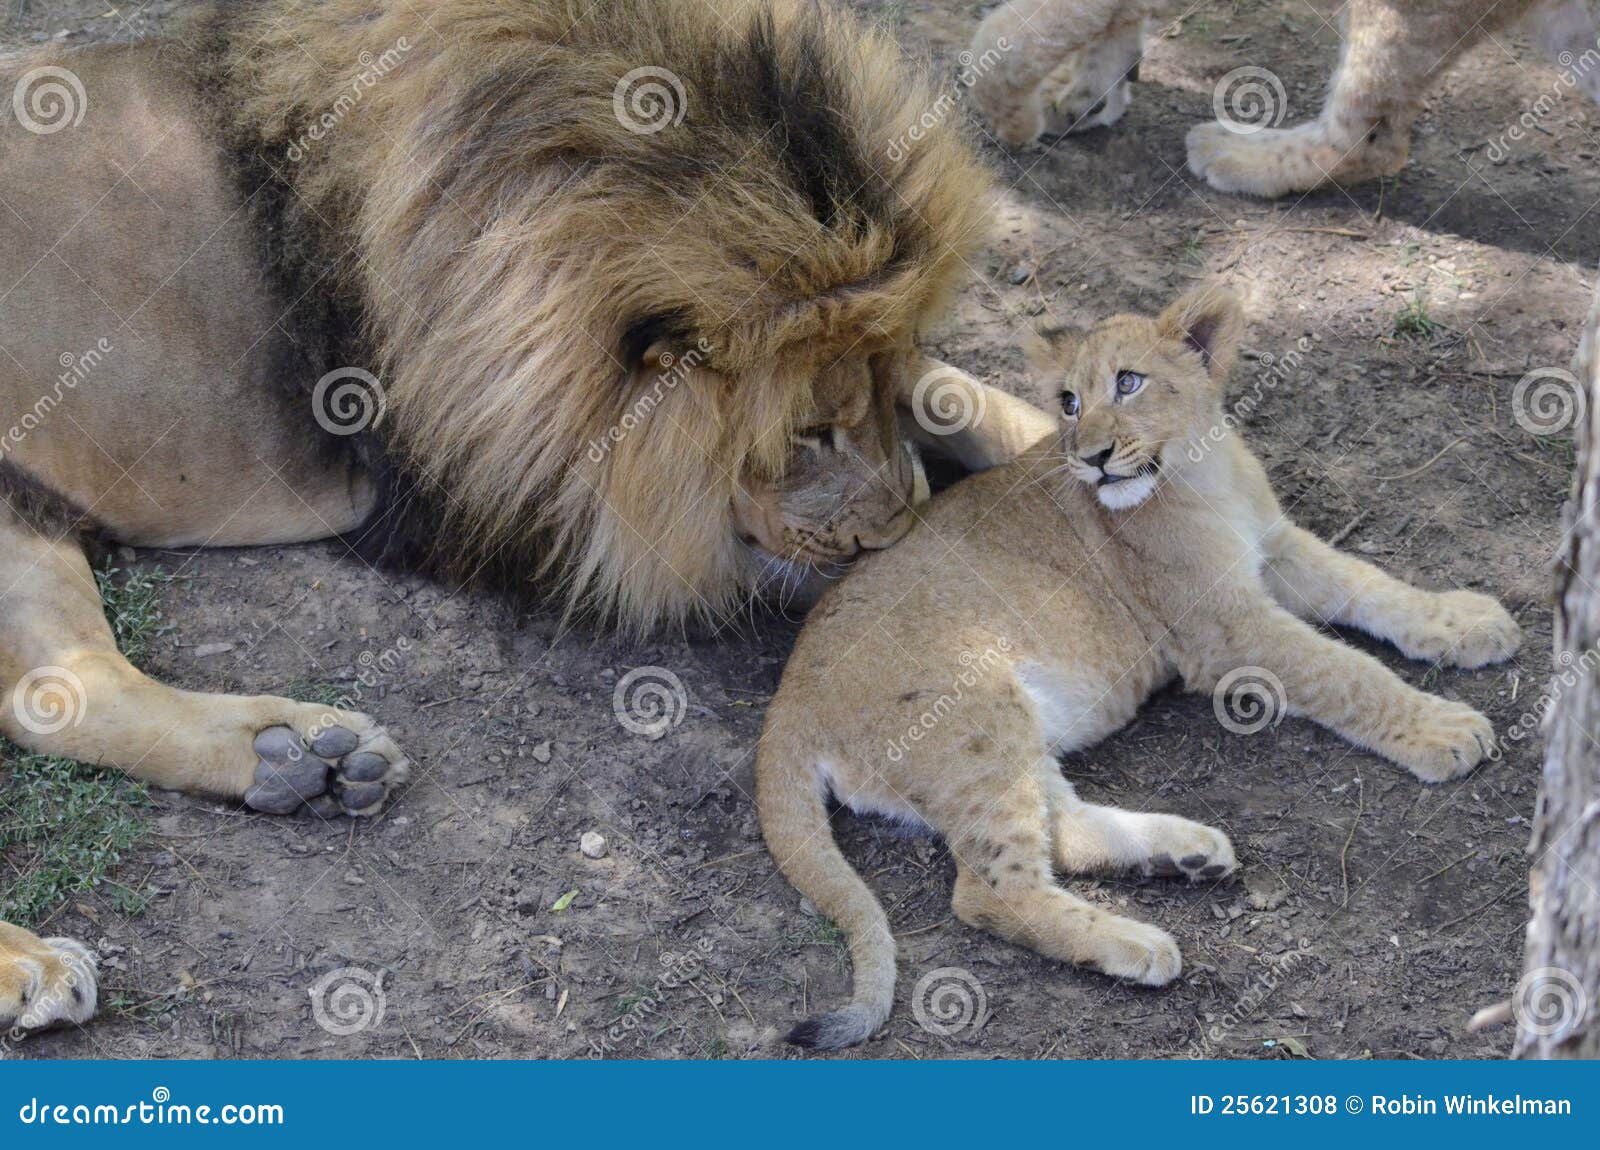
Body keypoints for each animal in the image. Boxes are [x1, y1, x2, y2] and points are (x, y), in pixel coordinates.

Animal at [0, 2, 1056, 1036]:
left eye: (868, 398)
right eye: (807, 432)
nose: (896, 533)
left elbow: (963, 396)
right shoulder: (528, 504)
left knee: (61, 692)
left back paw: (301, 762)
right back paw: (38, 964)